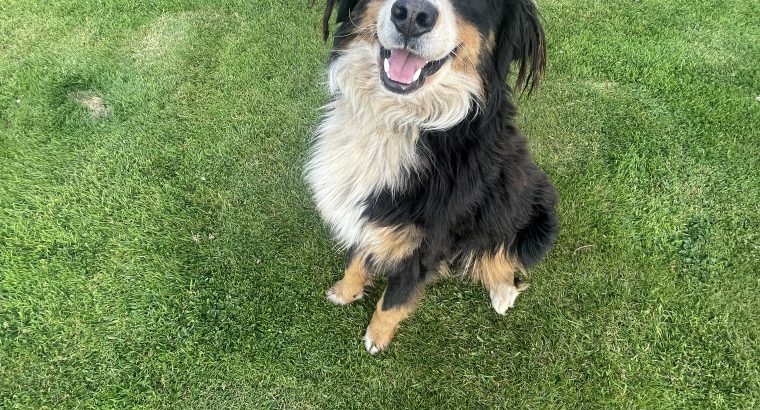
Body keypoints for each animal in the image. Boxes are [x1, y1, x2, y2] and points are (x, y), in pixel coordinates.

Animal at [306, 0, 560, 352]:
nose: (413, 15)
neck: (397, 119)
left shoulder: (427, 244)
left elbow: (394, 298)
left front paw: (376, 337)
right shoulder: (367, 210)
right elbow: (356, 257)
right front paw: (346, 292)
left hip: (535, 227)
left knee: (502, 258)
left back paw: (502, 293)